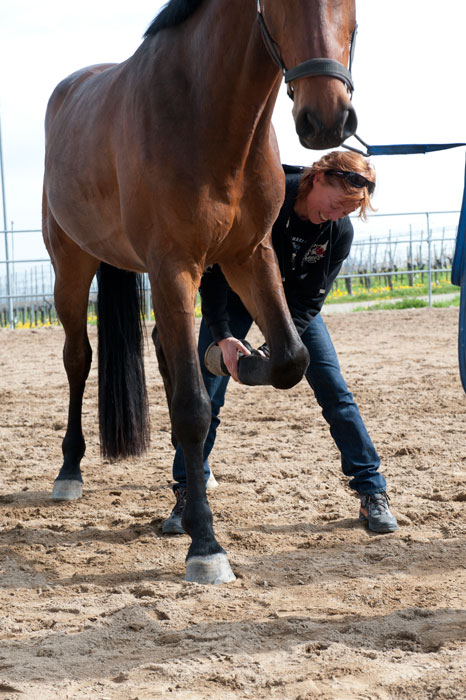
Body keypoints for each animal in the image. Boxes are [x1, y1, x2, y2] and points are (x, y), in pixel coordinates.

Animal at [42, 0, 356, 584]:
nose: (326, 119)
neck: (207, 115)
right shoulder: (174, 267)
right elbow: (192, 405)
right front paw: (205, 545)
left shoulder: (249, 255)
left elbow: (290, 359)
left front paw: (236, 359)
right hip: (72, 266)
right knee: (79, 358)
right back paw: (70, 470)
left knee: (166, 353)